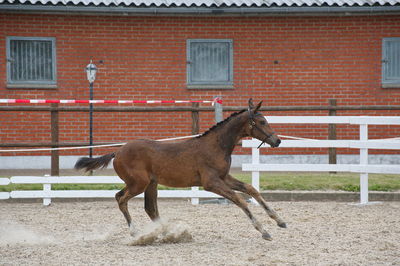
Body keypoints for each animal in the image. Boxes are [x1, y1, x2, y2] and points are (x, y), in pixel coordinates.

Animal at [75, 98, 286, 240]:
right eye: (262, 122)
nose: (277, 141)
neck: (216, 145)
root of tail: (117, 152)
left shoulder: (224, 177)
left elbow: (251, 189)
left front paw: (279, 220)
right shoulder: (211, 183)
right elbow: (240, 199)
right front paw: (264, 231)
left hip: (150, 184)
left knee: (148, 207)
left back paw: (165, 232)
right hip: (139, 184)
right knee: (121, 199)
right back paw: (136, 232)